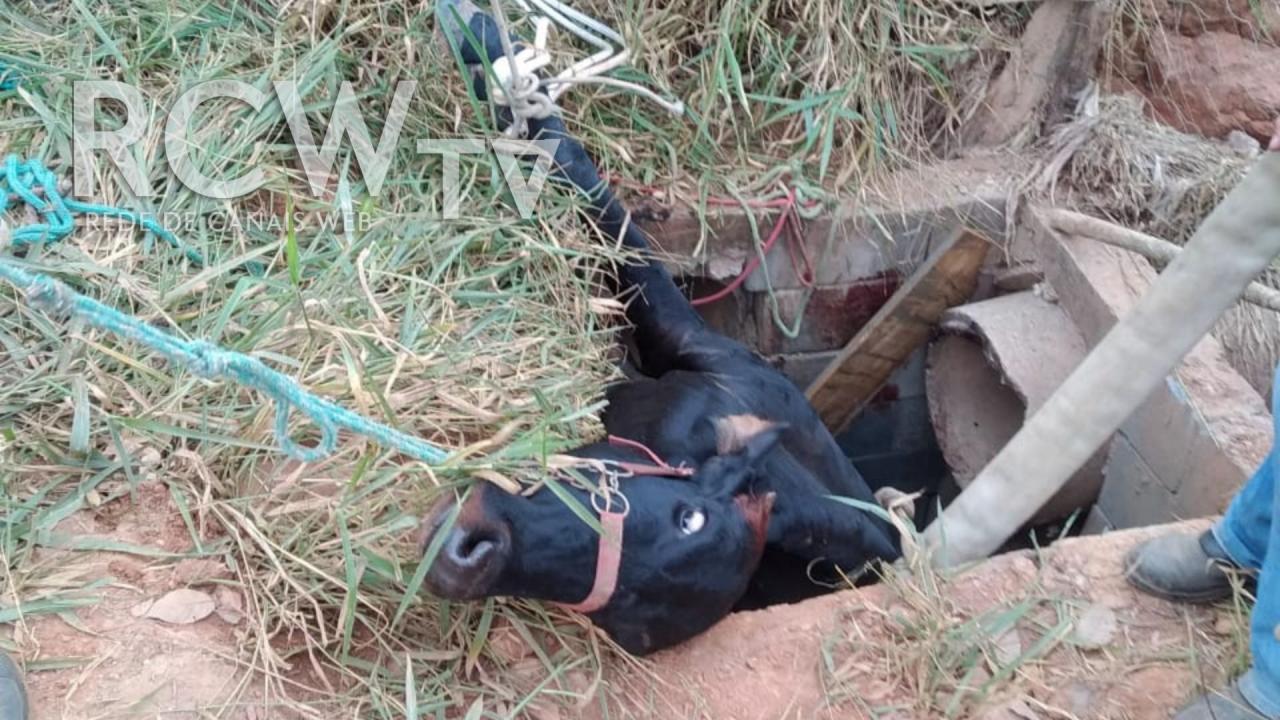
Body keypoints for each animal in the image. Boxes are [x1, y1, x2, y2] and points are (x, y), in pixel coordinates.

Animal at [420, 0, 903, 656]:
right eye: (688, 516)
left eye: (628, 622)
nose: (463, 556)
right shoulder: (687, 335)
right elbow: (595, 200)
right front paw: (492, 50)